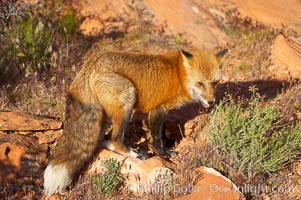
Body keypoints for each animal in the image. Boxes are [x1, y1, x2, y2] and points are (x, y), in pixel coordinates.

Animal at [43, 48, 226, 195]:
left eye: (214, 83)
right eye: (200, 83)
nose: (211, 101)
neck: (179, 75)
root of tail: (91, 62)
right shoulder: (158, 109)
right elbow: (156, 138)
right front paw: (163, 154)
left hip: (105, 116)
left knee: (103, 141)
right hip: (128, 99)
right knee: (116, 139)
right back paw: (136, 154)